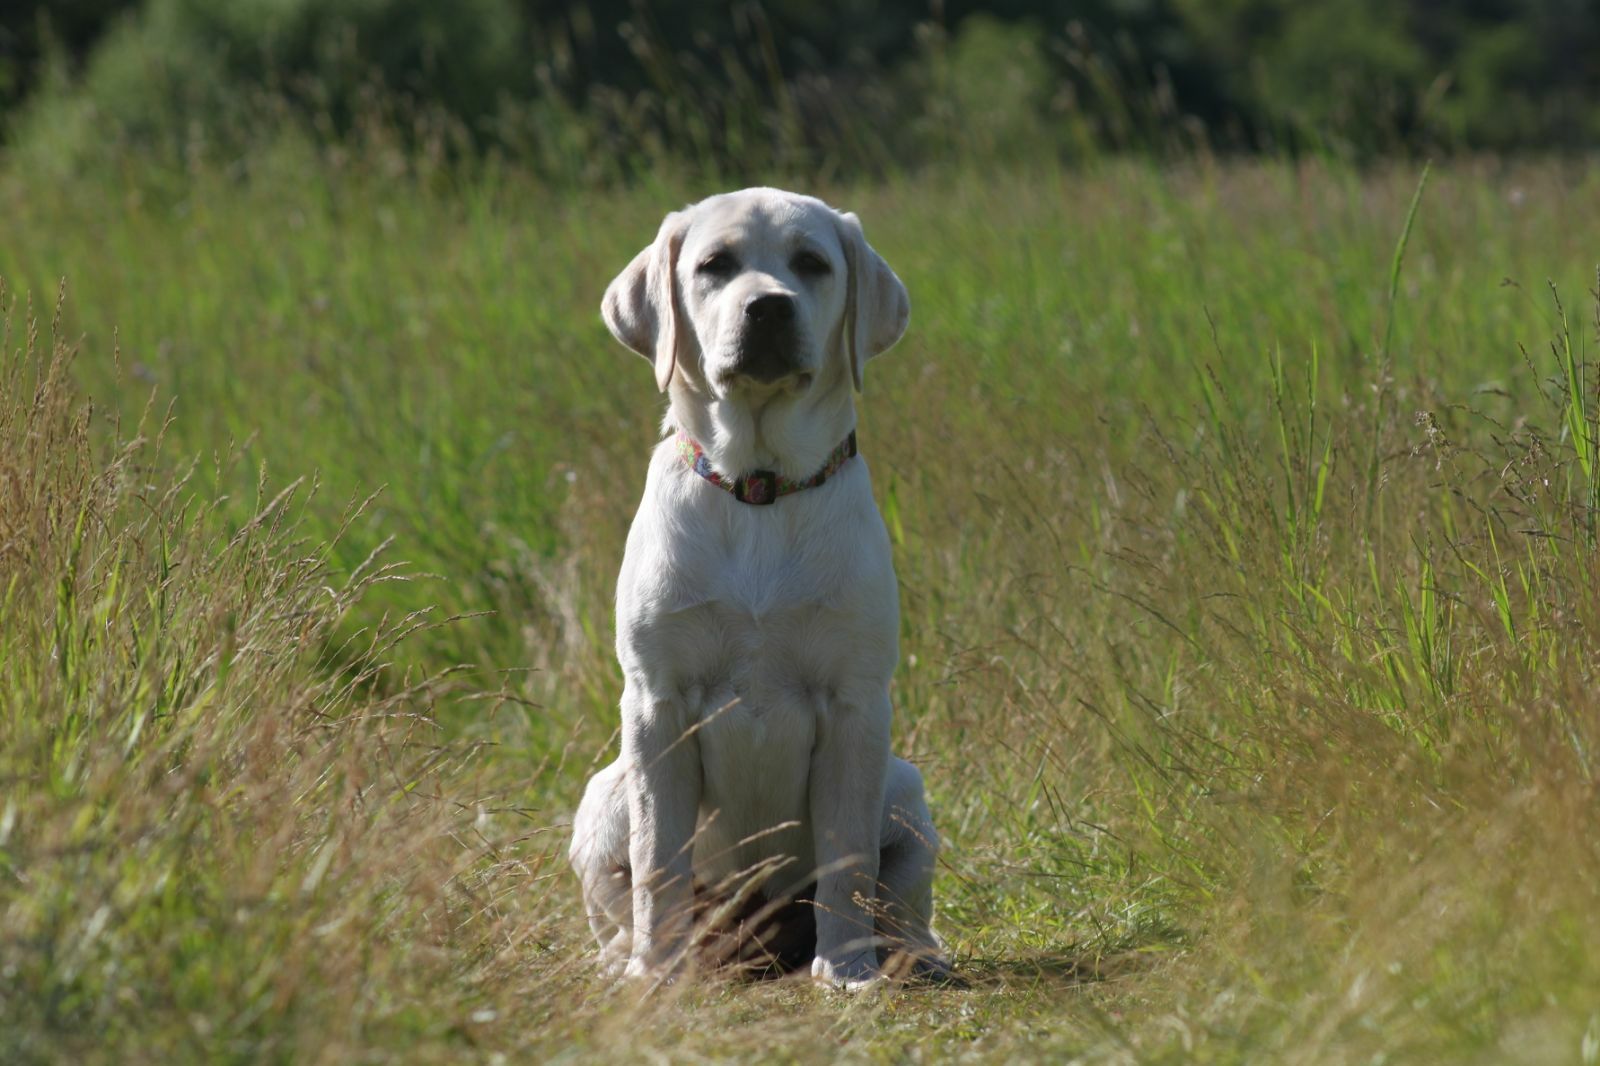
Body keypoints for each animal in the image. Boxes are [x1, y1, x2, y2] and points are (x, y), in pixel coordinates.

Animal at [572, 184, 940, 985]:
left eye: (812, 263)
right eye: (715, 265)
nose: (768, 307)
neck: (760, 489)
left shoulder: (855, 701)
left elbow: (846, 856)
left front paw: (847, 969)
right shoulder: (656, 701)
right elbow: (657, 857)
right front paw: (654, 971)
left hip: (906, 788)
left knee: (902, 899)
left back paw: (914, 956)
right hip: (601, 797)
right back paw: (625, 960)